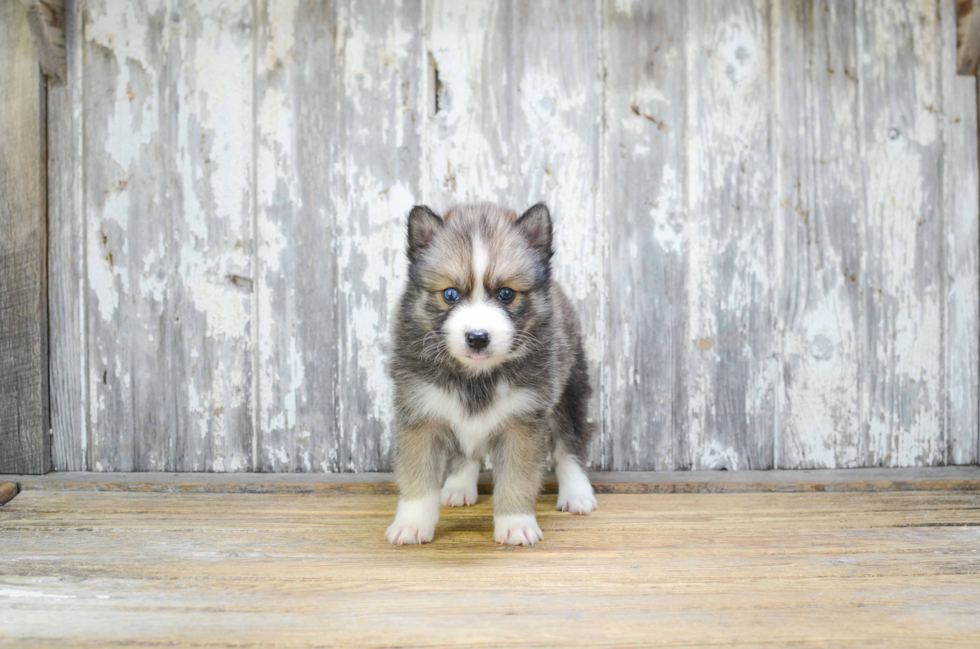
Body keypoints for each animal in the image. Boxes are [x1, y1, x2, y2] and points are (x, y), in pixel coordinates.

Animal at [386, 200, 592, 544]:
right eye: (450, 294)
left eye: (506, 294)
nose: (478, 337)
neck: (475, 376)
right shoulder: (421, 415)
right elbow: (418, 475)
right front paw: (412, 523)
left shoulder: (522, 420)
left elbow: (517, 477)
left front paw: (516, 523)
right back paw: (458, 486)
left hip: (569, 391)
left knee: (569, 444)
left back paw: (577, 492)